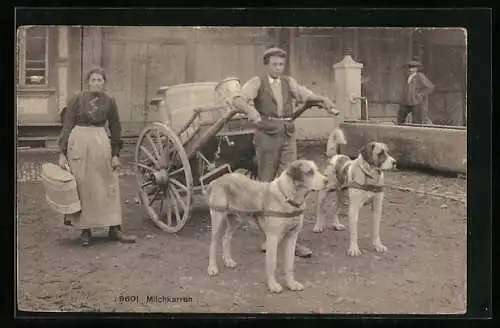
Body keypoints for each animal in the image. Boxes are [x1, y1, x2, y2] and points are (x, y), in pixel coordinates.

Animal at [204, 159, 328, 292]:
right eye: (310, 172)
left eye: (317, 170)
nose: (327, 180)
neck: (287, 197)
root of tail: (217, 180)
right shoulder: (273, 237)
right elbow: (272, 263)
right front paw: (273, 285)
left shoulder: (292, 236)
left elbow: (289, 264)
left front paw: (291, 284)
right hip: (218, 218)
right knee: (213, 244)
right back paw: (212, 268)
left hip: (235, 219)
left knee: (226, 239)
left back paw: (228, 261)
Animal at [314, 128, 396, 256]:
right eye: (381, 153)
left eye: (388, 152)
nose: (395, 162)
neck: (369, 177)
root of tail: (335, 156)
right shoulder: (354, 208)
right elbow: (354, 232)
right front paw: (353, 248)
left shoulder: (377, 207)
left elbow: (376, 230)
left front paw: (378, 245)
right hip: (323, 194)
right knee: (319, 210)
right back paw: (318, 226)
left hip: (343, 198)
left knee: (334, 207)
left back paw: (336, 224)